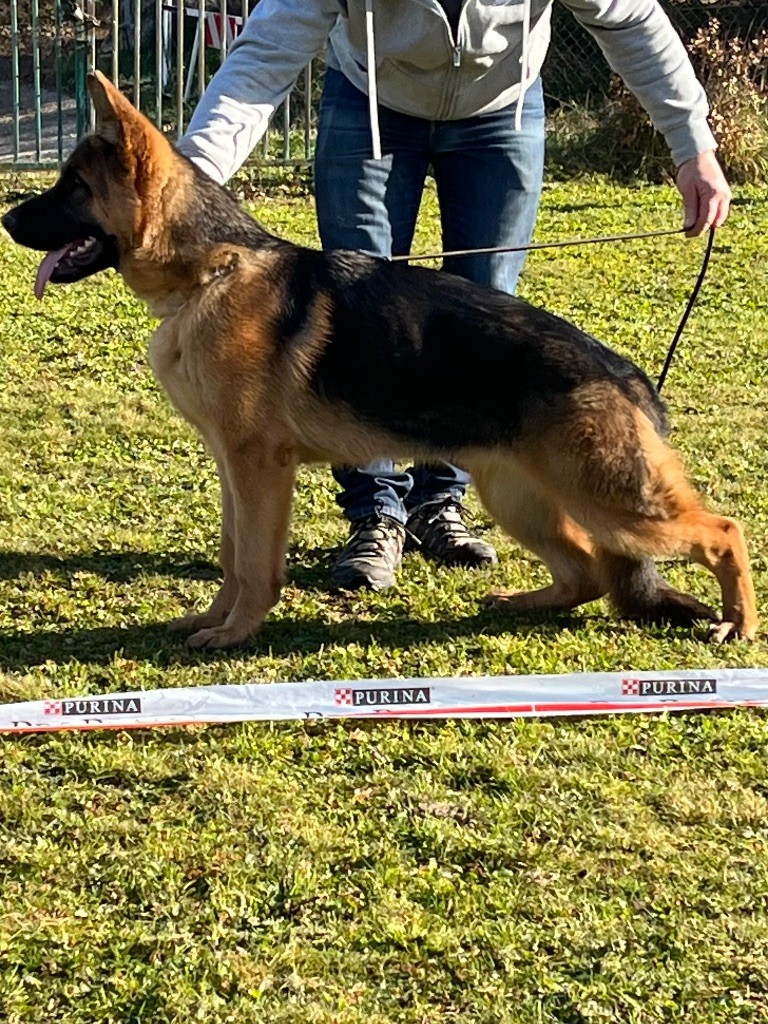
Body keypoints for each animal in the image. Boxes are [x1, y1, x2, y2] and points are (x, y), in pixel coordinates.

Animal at [0, 72, 757, 647]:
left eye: (72, 187)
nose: (6, 222)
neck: (211, 271)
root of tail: (627, 377)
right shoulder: (232, 468)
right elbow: (230, 555)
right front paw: (212, 621)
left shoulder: (259, 468)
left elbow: (254, 564)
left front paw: (236, 634)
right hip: (522, 498)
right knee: (589, 574)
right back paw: (523, 603)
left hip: (609, 500)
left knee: (722, 530)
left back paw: (737, 624)